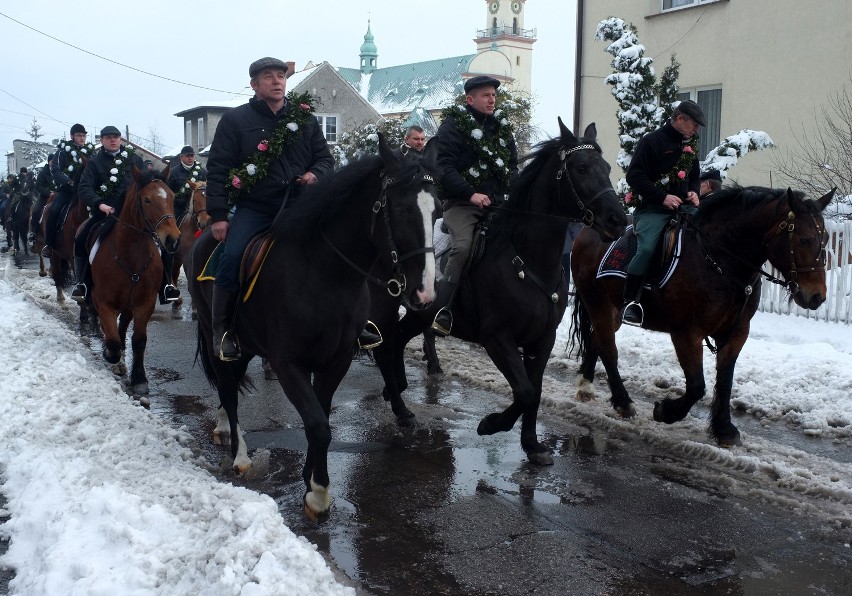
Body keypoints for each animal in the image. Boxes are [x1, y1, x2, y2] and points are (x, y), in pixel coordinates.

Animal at [88, 165, 180, 394]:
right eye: (147, 200)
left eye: (172, 197)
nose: (173, 239)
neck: (130, 255)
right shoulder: (104, 302)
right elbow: (111, 340)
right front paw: (110, 355)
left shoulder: (144, 302)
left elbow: (138, 340)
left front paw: (139, 378)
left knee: (122, 327)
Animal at [191, 135, 442, 516]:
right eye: (399, 210)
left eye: (438, 211)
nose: (425, 291)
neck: (324, 275)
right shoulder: (287, 363)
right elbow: (318, 425)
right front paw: (318, 493)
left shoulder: (335, 359)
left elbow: (320, 416)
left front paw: (310, 474)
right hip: (215, 334)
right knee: (228, 391)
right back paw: (240, 454)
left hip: (247, 344)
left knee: (228, 386)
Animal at [366, 118, 624, 466]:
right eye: (582, 168)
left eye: (607, 167)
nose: (618, 219)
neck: (525, 257)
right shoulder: (497, 338)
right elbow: (525, 391)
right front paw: (491, 424)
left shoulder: (543, 339)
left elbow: (535, 391)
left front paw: (532, 444)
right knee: (387, 342)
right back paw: (398, 401)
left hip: (421, 313)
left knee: (398, 339)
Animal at [568, 186, 836, 448]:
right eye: (804, 239)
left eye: (825, 239)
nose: (817, 296)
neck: (721, 260)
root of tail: (587, 232)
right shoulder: (686, 333)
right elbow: (697, 386)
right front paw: (666, 411)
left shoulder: (736, 333)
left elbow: (725, 380)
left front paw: (724, 429)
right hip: (598, 305)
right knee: (609, 351)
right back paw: (623, 402)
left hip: (611, 310)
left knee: (597, 341)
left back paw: (586, 386)